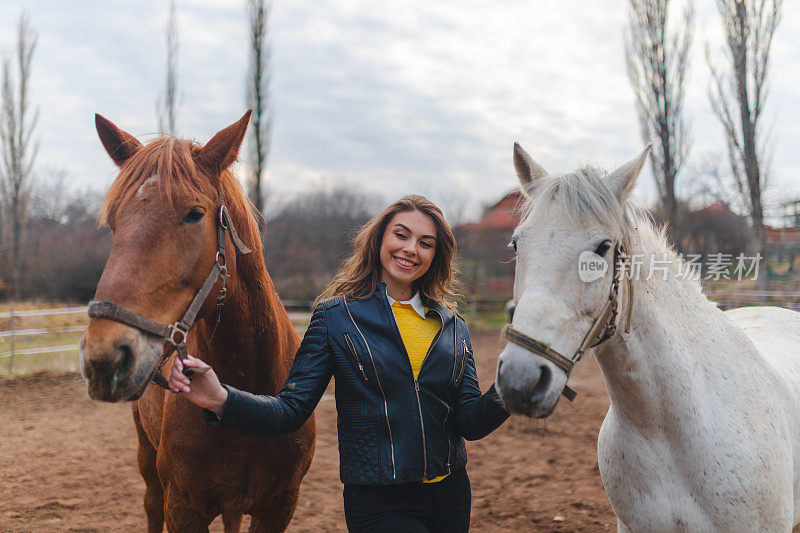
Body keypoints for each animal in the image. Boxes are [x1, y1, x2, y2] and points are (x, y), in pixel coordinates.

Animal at [79, 110, 316, 528]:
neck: (251, 400)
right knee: (150, 504)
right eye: (114, 222)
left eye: (194, 214)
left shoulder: (279, 507)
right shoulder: (183, 508)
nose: (103, 359)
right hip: (148, 461)